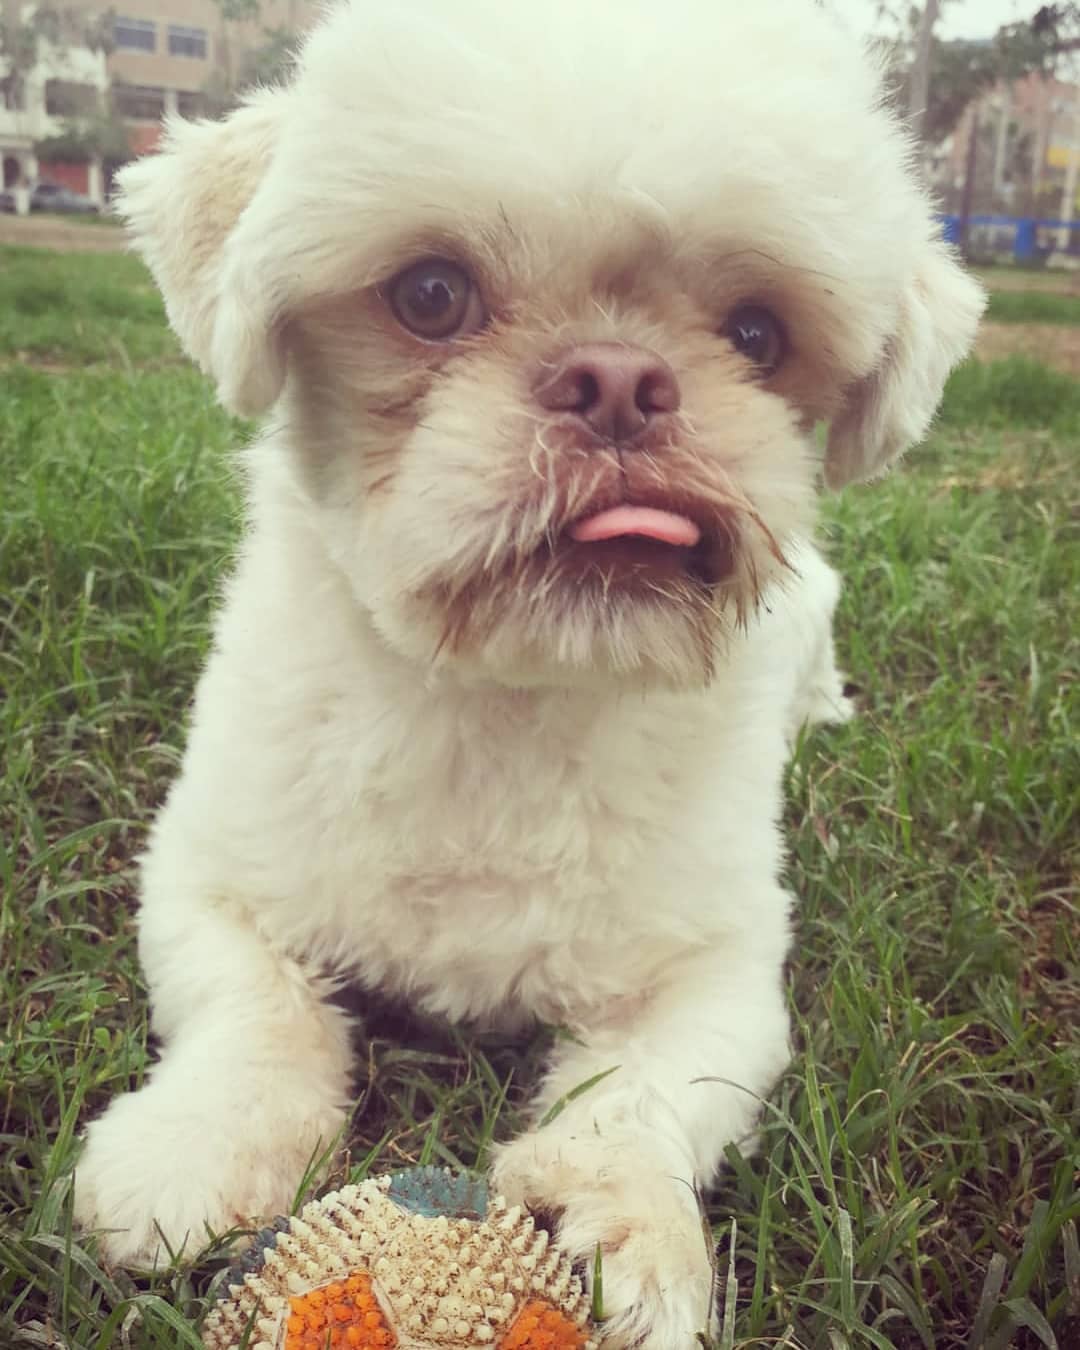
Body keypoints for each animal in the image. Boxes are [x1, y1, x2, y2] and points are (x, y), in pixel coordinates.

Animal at [73, 5, 988, 1344]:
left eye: (757, 336)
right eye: (431, 294)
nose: (617, 380)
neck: (510, 700)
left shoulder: (723, 971)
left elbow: (645, 1097)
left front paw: (637, 1234)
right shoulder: (208, 878)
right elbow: (256, 1014)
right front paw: (188, 1151)